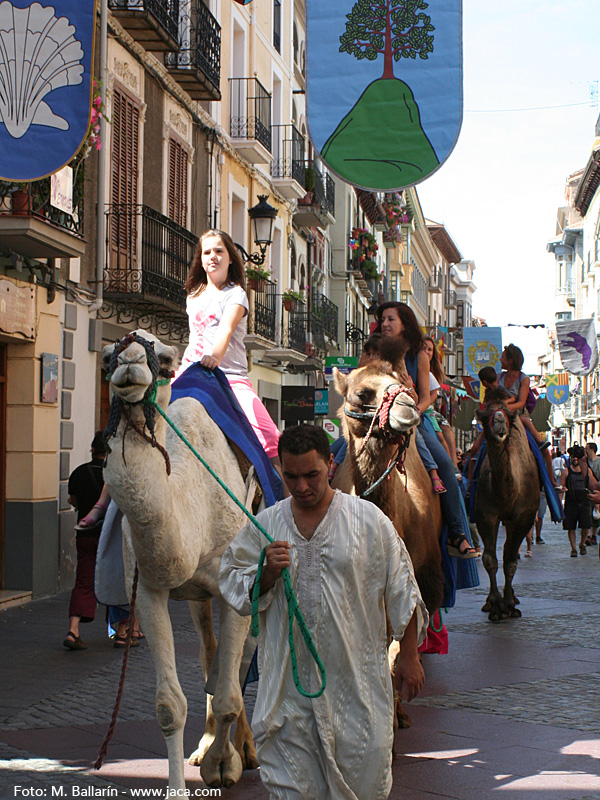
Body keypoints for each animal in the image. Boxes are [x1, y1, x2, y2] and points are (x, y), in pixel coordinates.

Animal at [100, 330, 258, 788]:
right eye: (108, 356)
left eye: (167, 359)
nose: (130, 363)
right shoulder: (149, 591)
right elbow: (170, 705)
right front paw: (189, 776)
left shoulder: (237, 591)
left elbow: (227, 693)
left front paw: (223, 765)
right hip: (197, 598)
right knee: (210, 655)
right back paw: (215, 746)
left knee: (241, 660)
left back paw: (242, 751)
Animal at [476, 390, 540, 620]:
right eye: (485, 416)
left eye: (509, 416)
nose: (500, 421)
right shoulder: (486, 515)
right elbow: (489, 559)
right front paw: (495, 605)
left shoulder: (524, 517)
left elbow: (511, 560)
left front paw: (509, 605)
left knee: (509, 551)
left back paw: (512, 597)